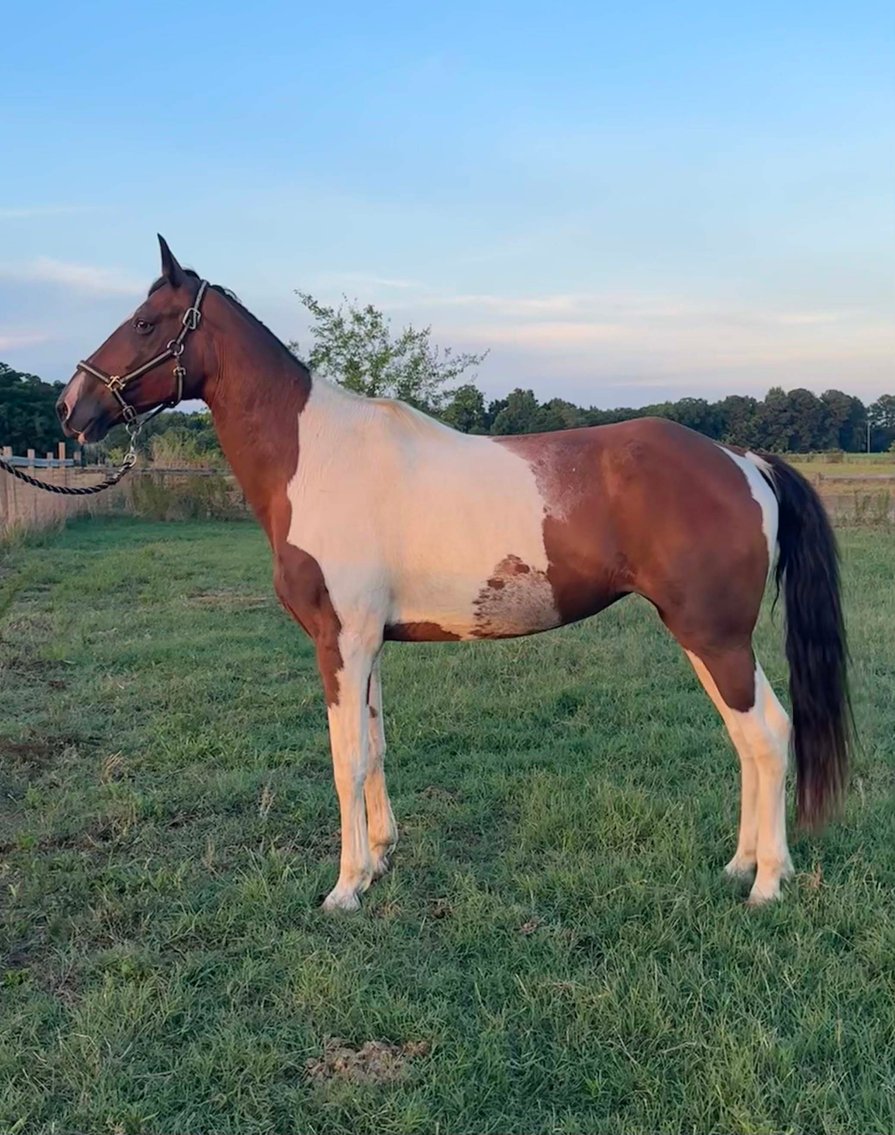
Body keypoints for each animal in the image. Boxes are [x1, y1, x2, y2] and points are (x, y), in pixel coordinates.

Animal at [56, 236, 850, 911]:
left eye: (147, 323)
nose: (71, 406)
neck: (318, 457)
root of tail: (741, 461)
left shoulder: (338, 642)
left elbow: (345, 758)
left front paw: (345, 888)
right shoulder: (367, 645)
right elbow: (375, 747)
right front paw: (378, 857)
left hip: (713, 637)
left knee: (767, 735)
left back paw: (766, 883)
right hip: (703, 637)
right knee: (746, 741)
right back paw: (741, 865)